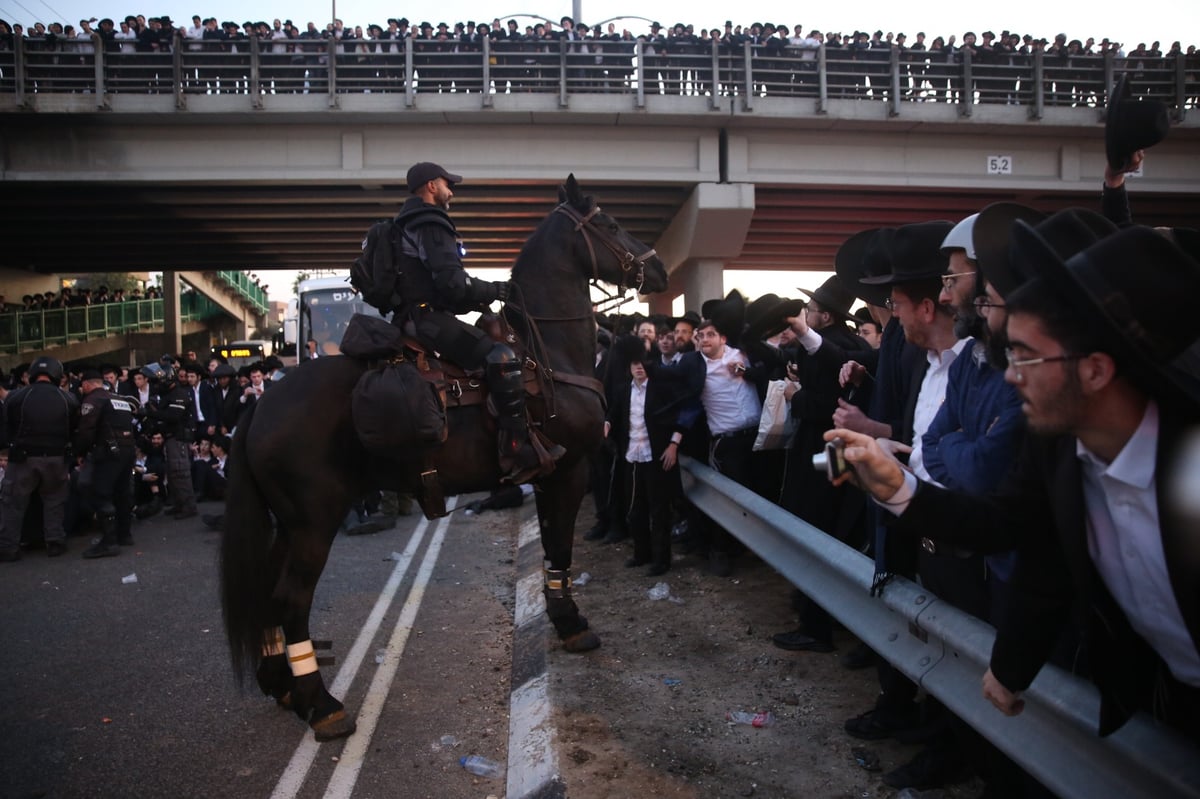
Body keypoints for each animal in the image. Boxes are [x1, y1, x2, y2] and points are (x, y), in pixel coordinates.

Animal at [222, 176, 672, 739]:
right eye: (610, 223)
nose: (660, 270)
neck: (546, 352)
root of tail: (261, 402)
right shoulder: (570, 471)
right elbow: (560, 548)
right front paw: (571, 623)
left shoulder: (551, 476)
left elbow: (553, 544)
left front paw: (562, 615)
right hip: (312, 524)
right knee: (290, 601)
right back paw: (321, 705)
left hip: (287, 523)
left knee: (266, 595)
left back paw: (283, 686)